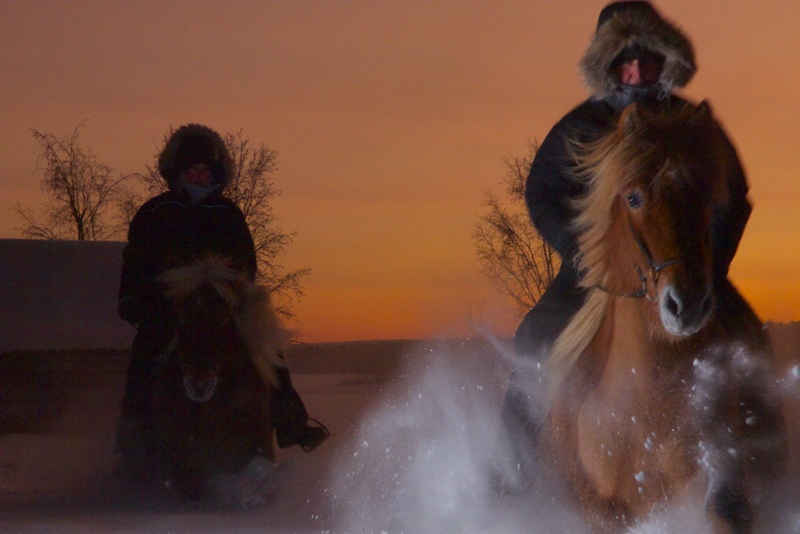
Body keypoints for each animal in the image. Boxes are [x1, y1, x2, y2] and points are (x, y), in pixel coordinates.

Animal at [536, 102, 788, 532]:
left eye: (708, 197)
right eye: (634, 198)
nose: (686, 304)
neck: (648, 396)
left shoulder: (722, 483)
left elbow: (723, 510)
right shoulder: (604, 510)